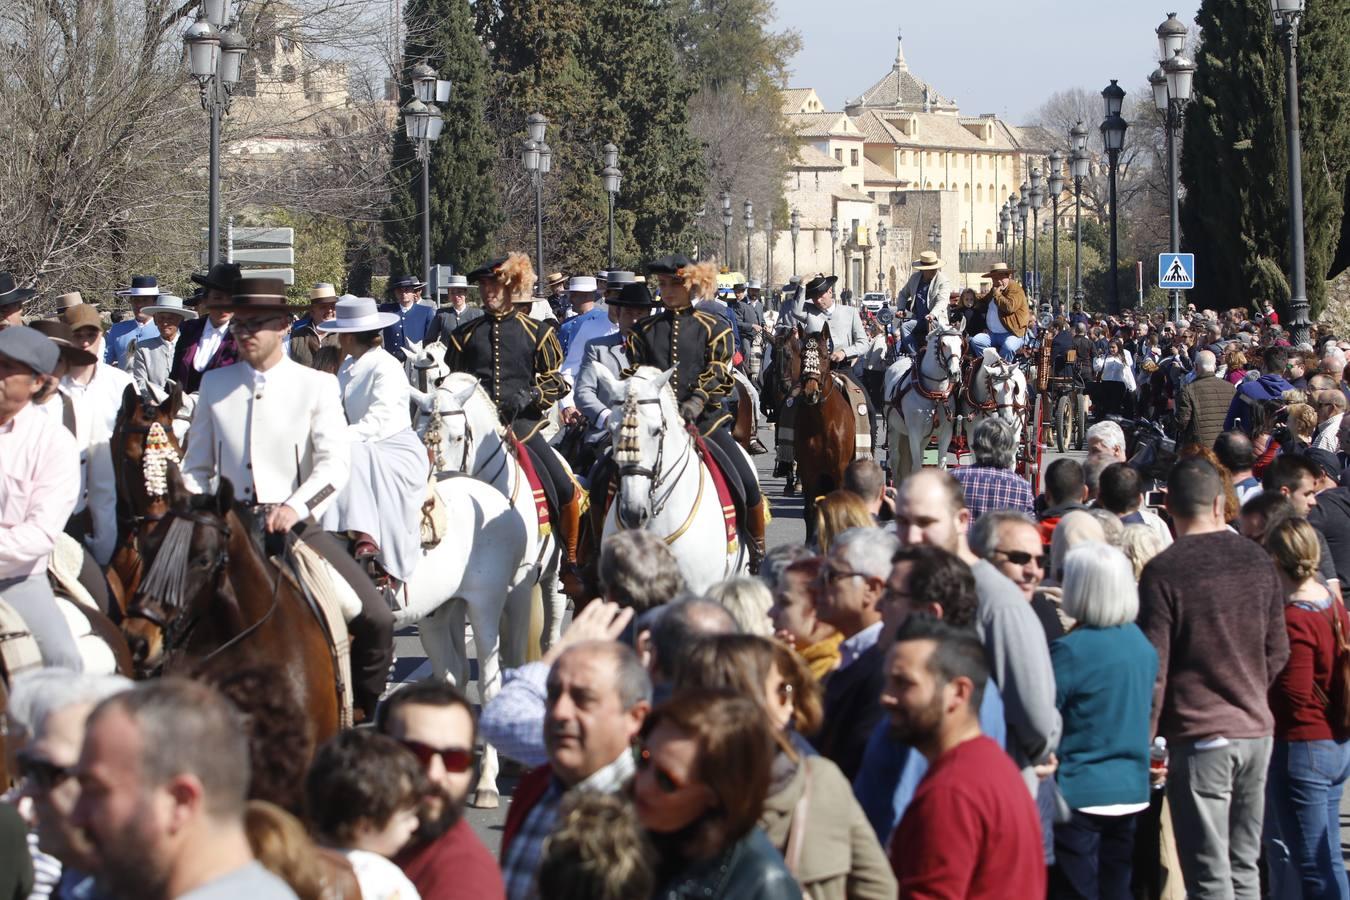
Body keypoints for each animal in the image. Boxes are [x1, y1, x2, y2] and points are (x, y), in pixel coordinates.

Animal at [783, 319, 853, 539]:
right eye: (803, 356)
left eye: (824, 356)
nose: (810, 393)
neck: (822, 424)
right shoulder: (809, 471)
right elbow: (810, 511)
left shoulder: (839, 470)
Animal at [880, 322, 966, 483]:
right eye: (943, 344)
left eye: (961, 344)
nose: (955, 373)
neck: (935, 395)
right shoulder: (914, 432)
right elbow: (916, 467)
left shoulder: (946, 432)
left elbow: (941, 465)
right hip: (894, 428)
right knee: (895, 459)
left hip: (925, 436)